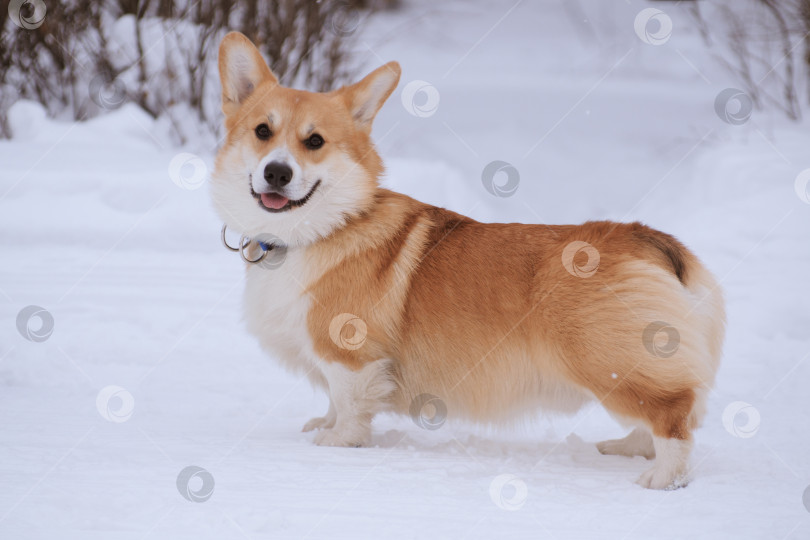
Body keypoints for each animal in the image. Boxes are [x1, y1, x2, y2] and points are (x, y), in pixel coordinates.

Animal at [210, 31, 724, 492]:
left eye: (314, 141)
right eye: (262, 132)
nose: (277, 172)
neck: (318, 229)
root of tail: (647, 238)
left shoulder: (349, 355)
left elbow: (351, 405)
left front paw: (337, 443)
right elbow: (336, 402)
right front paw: (323, 424)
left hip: (605, 360)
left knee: (673, 412)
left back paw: (663, 478)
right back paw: (626, 449)